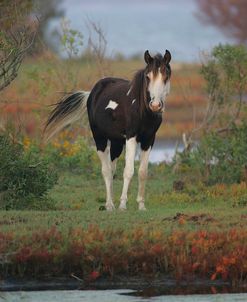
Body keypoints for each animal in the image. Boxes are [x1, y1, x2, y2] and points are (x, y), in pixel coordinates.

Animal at [44, 50, 172, 210]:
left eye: (166, 76)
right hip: (100, 138)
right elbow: (128, 171)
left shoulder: (149, 140)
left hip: (117, 142)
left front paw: (141, 205)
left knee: (111, 170)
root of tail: (92, 93)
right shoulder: (131, 137)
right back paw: (110, 205)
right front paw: (123, 205)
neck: (141, 109)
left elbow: (143, 172)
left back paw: (111, 203)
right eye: (148, 76)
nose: (155, 105)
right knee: (105, 171)